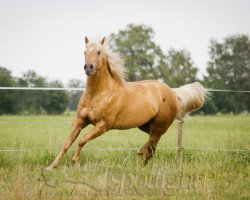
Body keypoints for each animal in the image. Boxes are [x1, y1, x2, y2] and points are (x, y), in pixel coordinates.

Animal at [46, 36, 206, 170]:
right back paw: (140, 156)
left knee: (151, 148)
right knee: (150, 147)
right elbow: (67, 143)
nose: (88, 67)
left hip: (159, 127)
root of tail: (173, 93)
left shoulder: (103, 125)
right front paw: (52, 166)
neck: (98, 94)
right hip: (146, 126)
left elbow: (81, 141)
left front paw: (75, 163)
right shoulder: (79, 121)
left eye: (98, 52)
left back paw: (141, 162)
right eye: (84, 52)